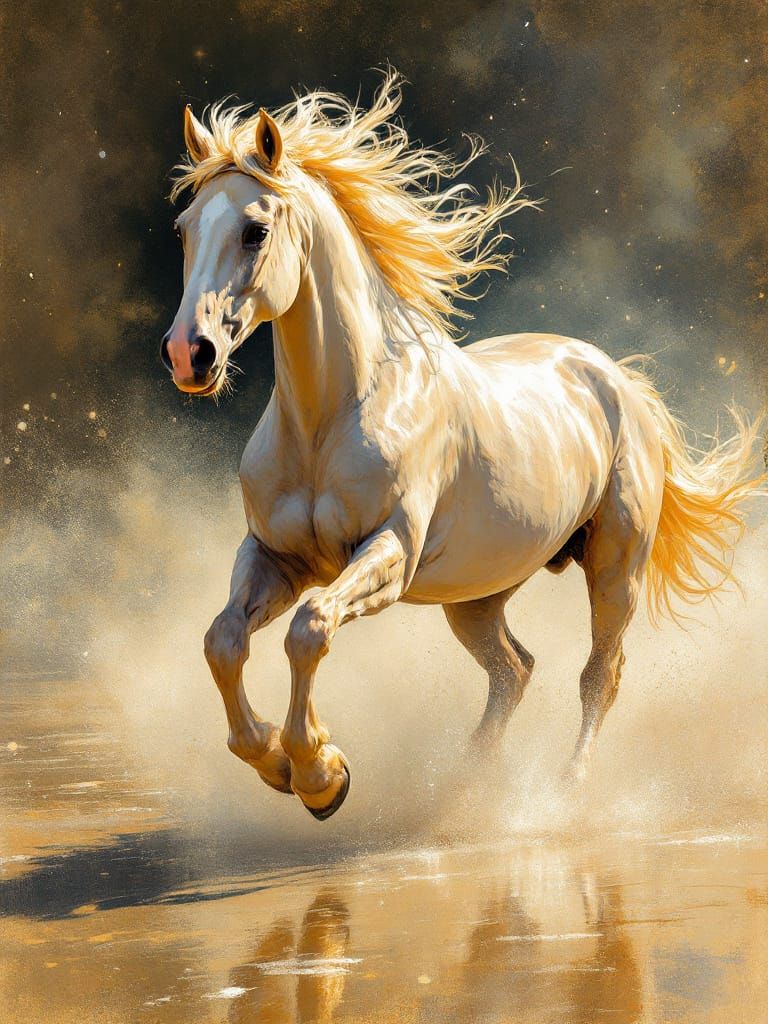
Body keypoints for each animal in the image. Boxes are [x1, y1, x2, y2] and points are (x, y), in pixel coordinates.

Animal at [161, 75, 763, 820]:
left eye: (255, 230)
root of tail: (618, 379)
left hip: (614, 570)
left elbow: (310, 628)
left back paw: (565, 790)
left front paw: (321, 774)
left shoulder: (387, 553)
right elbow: (223, 642)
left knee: (599, 675)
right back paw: (466, 784)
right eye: (185, 228)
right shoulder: (274, 556)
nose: (189, 354)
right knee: (514, 669)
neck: (330, 419)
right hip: (478, 594)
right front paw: (279, 761)